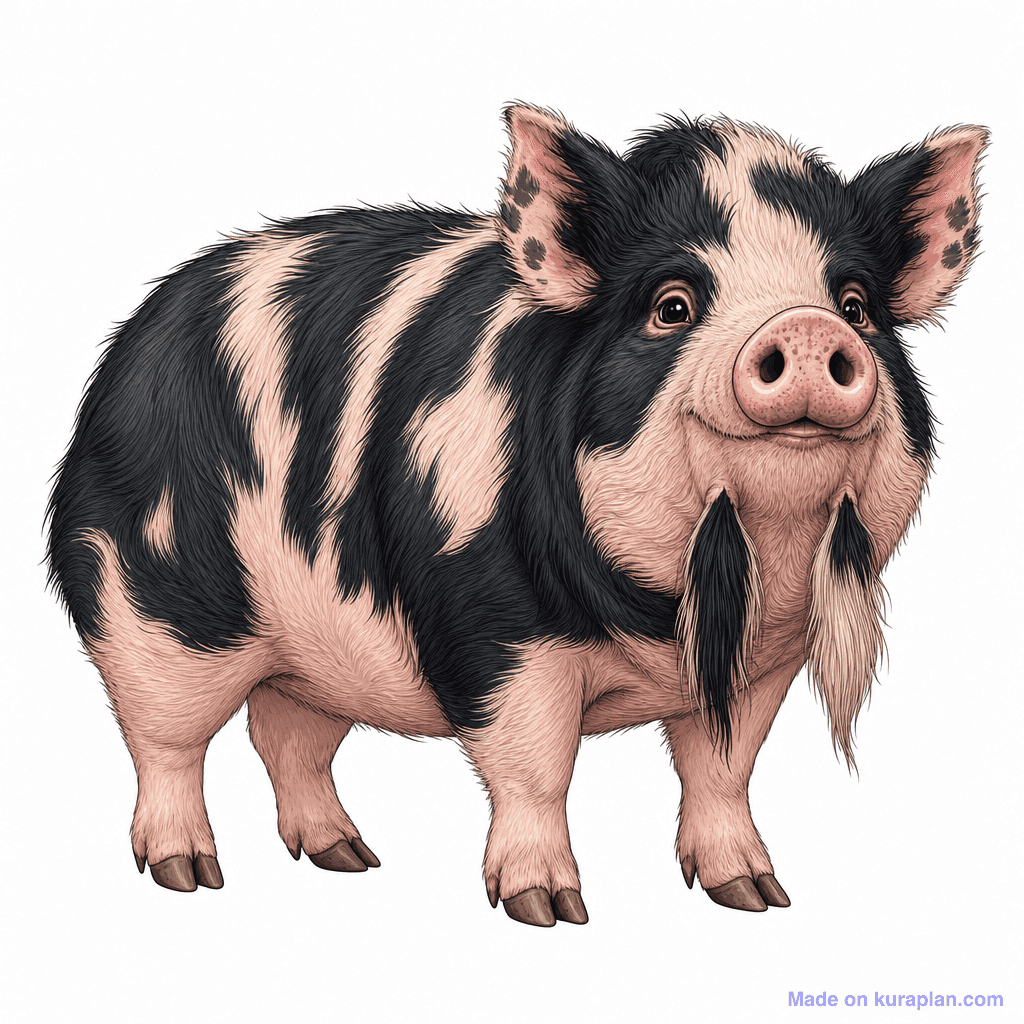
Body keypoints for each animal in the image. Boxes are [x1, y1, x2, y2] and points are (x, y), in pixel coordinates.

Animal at [47, 104, 987, 927]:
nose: (807, 329)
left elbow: (723, 768)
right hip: (150, 604)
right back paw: (189, 874)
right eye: (672, 305)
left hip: (316, 647)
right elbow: (535, 768)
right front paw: (549, 911)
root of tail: (129, 345)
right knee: (165, 740)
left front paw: (757, 897)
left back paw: (348, 856)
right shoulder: (497, 630)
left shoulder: (764, 660)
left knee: (286, 734)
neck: (668, 618)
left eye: (857, 305)